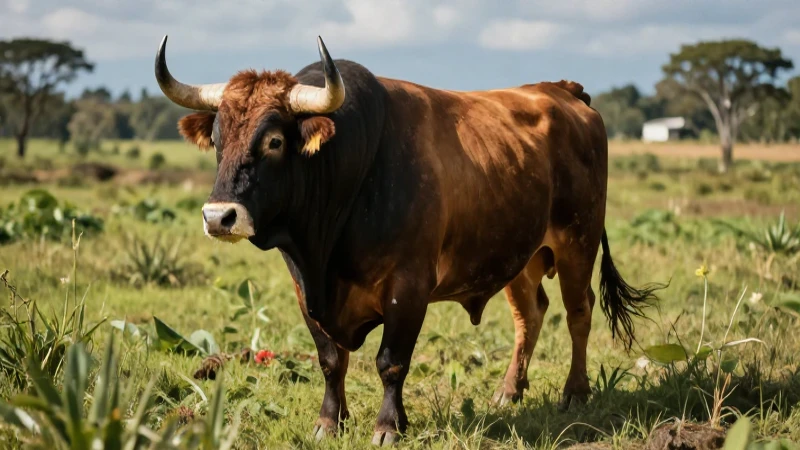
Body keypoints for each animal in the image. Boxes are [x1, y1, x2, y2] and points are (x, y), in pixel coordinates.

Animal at [154, 35, 666, 446]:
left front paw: (388, 426)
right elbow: (330, 360)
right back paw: (508, 391)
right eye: (218, 138)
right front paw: (329, 423)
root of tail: (562, 90)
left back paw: (575, 392)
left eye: (275, 141)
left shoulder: (409, 288)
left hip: (578, 241)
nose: (219, 216)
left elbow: (390, 362)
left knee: (579, 314)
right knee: (531, 315)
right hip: (519, 257)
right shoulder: (306, 291)